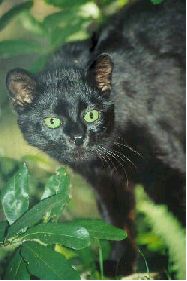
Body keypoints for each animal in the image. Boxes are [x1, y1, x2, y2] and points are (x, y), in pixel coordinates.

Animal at [6, 0, 186, 276]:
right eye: (52, 121)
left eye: (91, 115)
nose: (78, 137)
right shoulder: (105, 182)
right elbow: (118, 223)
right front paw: (118, 266)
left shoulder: (173, 170)